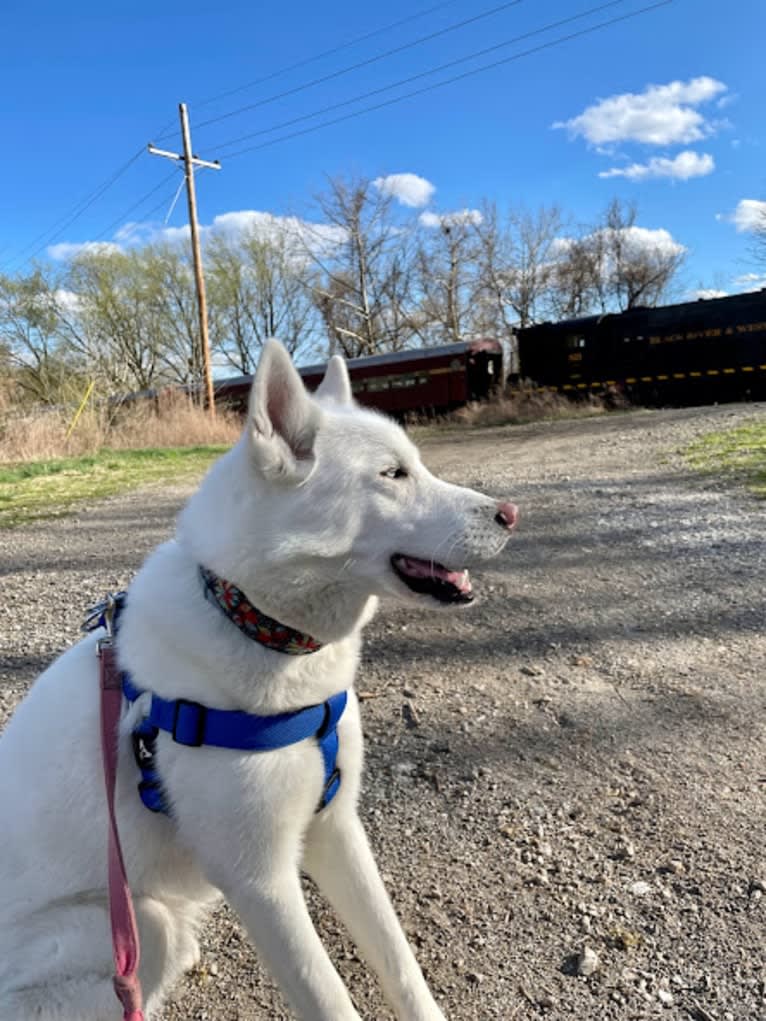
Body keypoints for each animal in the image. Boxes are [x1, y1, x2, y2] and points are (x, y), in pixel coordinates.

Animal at [0, 343, 518, 1021]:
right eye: (393, 474)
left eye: (418, 466)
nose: (511, 514)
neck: (252, 621)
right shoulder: (262, 882)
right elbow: (330, 998)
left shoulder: (336, 828)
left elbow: (400, 963)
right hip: (138, 922)